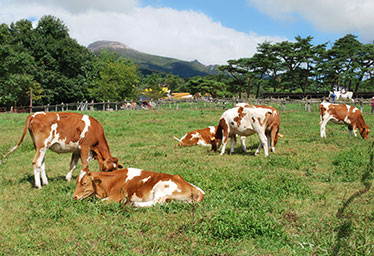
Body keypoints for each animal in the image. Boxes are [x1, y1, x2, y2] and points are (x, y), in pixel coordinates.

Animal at [72, 167, 205, 207]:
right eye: (77, 181)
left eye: (84, 183)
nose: (74, 197)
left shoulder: (118, 195)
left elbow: (100, 202)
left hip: (161, 188)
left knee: (157, 202)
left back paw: (134, 204)